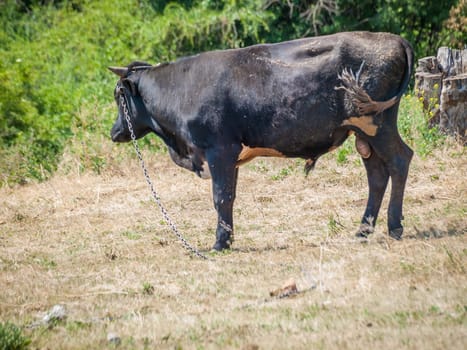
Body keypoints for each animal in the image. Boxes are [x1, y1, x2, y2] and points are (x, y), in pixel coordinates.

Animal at [110, 31, 416, 250]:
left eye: (118, 96)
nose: (115, 132)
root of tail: (393, 38)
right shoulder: (230, 157)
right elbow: (229, 197)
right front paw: (227, 239)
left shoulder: (219, 149)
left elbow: (220, 197)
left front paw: (219, 244)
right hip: (365, 134)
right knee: (377, 174)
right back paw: (363, 230)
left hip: (377, 125)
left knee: (400, 160)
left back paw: (395, 226)